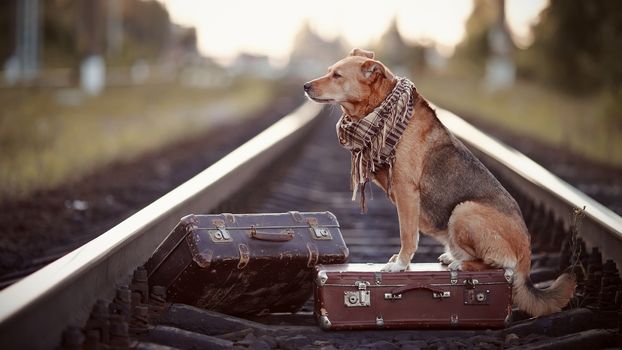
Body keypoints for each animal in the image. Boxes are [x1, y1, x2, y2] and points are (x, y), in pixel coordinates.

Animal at [304, 48, 576, 318]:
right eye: (329, 71)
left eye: (337, 75)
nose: (305, 86)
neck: (381, 110)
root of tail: (526, 257)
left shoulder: (405, 190)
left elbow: (407, 235)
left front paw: (400, 265)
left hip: (464, 210)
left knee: (501, 263)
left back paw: (460, 263)